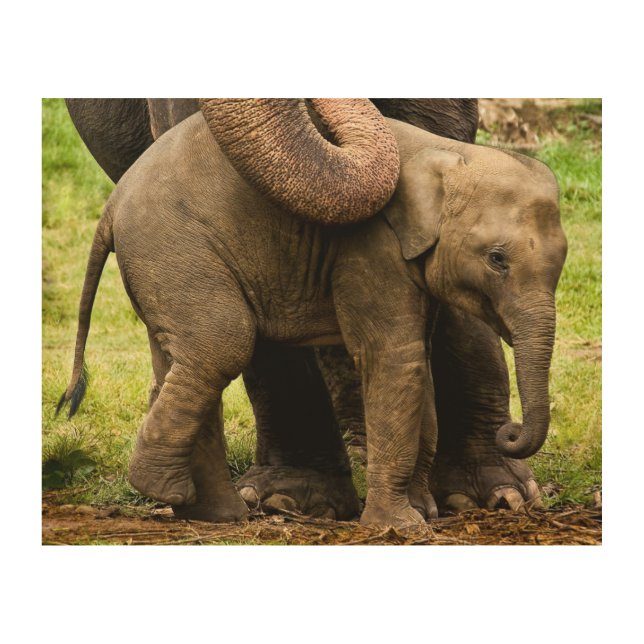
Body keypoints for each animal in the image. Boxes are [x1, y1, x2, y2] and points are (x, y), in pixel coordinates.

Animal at [58, 103, 567, 528]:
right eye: (497, 259)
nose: (510, 432)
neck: (449, 158)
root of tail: (110, 209)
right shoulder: (369, 247)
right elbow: (393, 359)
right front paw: (400, 526)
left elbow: (413, 361)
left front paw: (422, 511)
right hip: (175, 249)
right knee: (221, 345)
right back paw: (175, 493)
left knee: (183, 357)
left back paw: (216, 514)